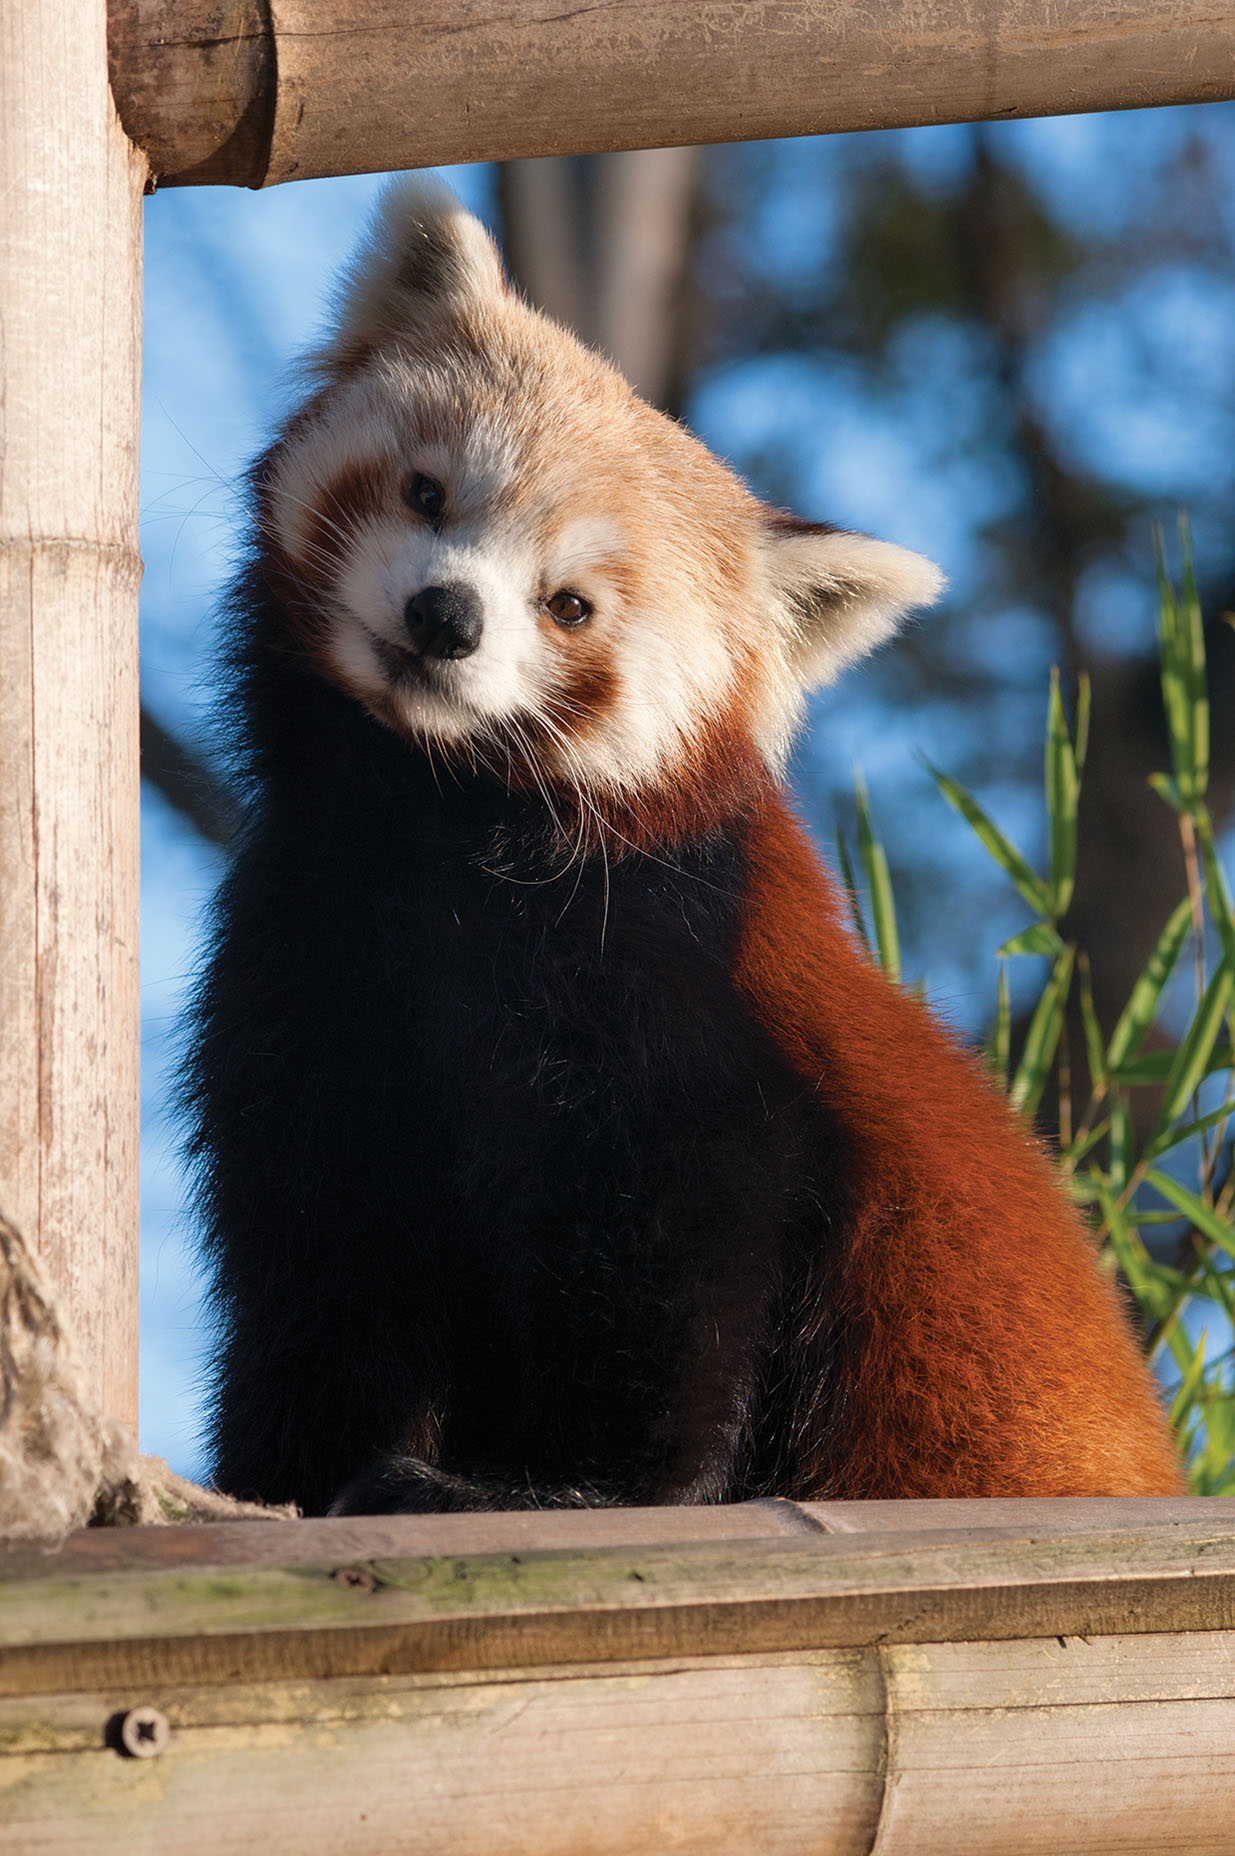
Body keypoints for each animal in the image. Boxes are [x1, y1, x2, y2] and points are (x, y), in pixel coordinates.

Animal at [187, 170, 1181, 1507]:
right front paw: (284, 1473)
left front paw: (552, 1489)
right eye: (427, 493)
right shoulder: (307, 965)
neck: (427, 824)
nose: (445, 617)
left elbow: (678, 1268)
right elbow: (324, 1258)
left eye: (569, 606)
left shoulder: (678, 999)